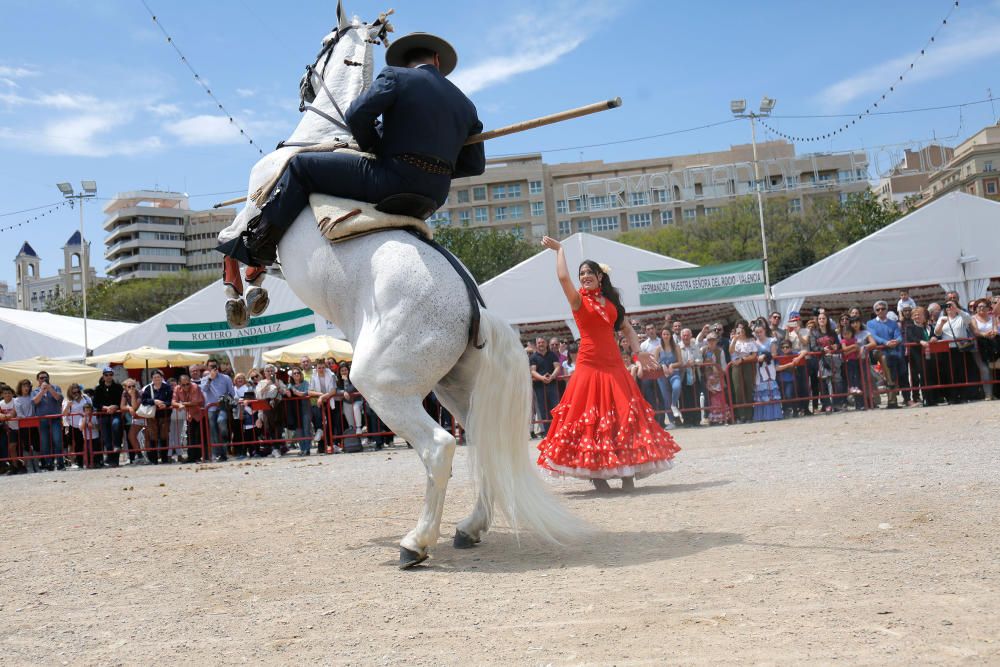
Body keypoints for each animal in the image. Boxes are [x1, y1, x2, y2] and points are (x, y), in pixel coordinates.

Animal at [215, 6, 584, 568]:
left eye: (323, 39)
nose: (301, 86)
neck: (324, 135)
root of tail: (476, 309)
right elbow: (250, 259)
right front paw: (254, 293)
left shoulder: (255, 208)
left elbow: (234, 246)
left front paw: (241, 300)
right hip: (453, 387)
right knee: (478, 444)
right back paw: (469, 527)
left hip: (382, 384)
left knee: (439, 448)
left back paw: (417, 543)